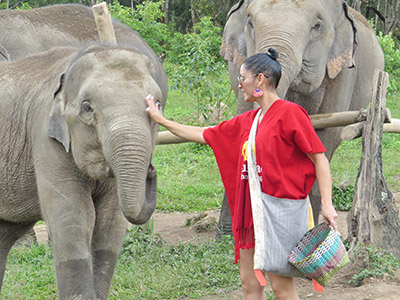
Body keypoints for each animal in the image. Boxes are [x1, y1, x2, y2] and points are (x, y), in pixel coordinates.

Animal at [0, 42, 166, 300]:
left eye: (157, 105)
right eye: (87, 108)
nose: (150, 170)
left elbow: (110, 220)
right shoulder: (44, 137)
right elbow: (74, 215)